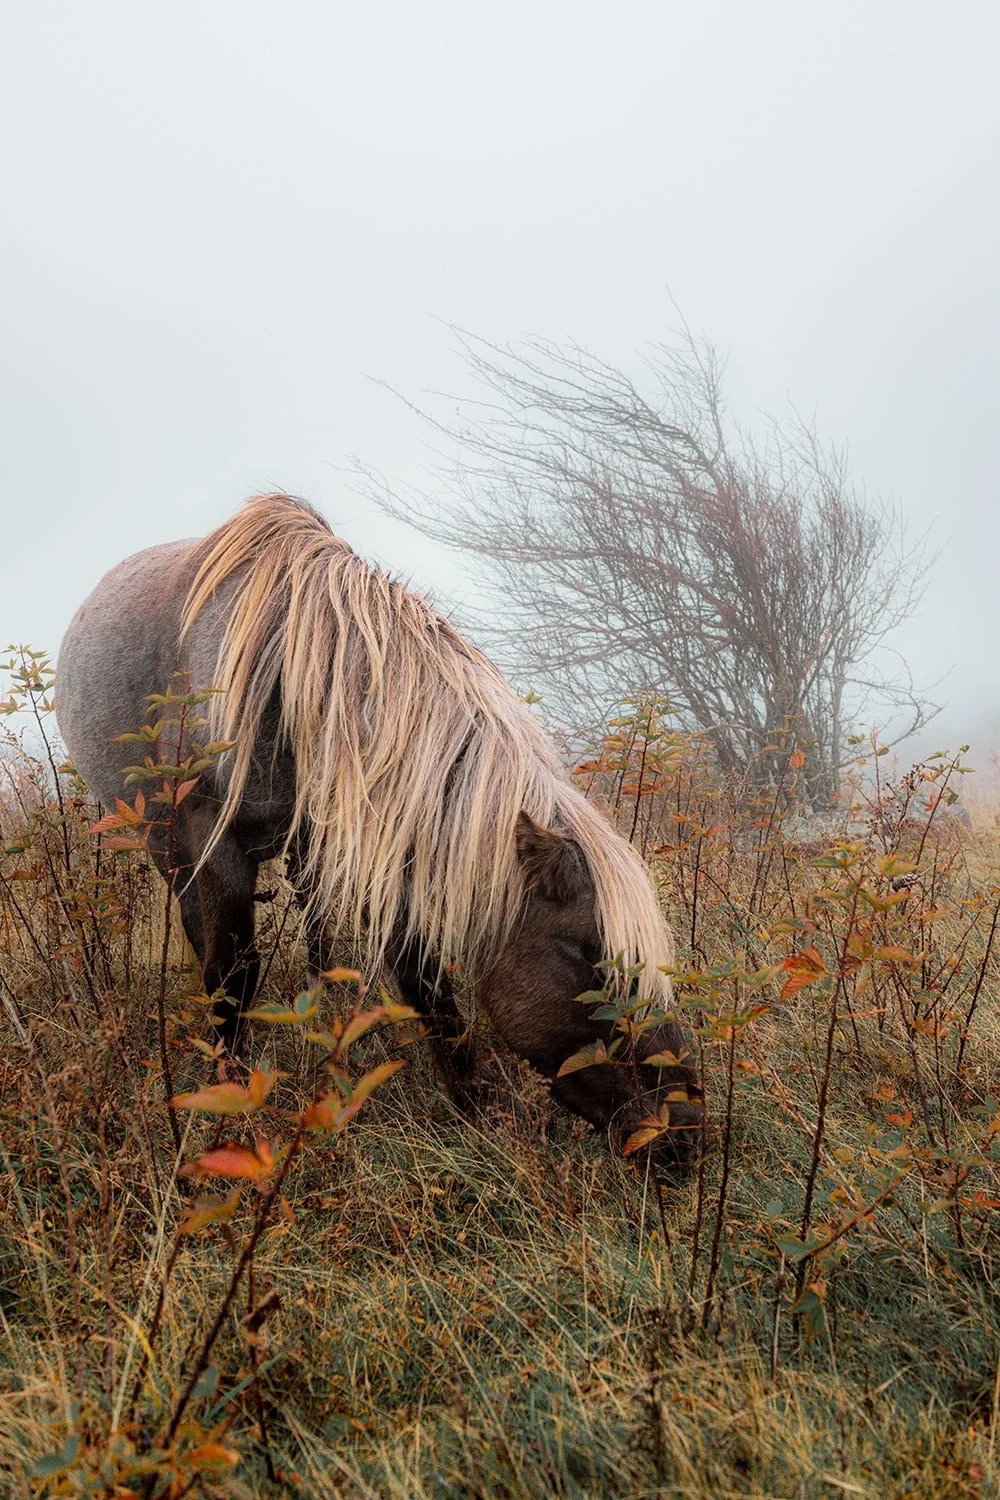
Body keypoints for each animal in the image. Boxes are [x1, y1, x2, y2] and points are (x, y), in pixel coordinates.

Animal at [56, 494, 702, 1168]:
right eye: (594, 961)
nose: (687, 1133)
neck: (285, 670)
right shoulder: (214, 840)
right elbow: (232, 972)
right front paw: (230, 1102)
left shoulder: (377, 840)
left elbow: (421, 977)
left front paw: (476, 1109)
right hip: (169, 844)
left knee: (316, 932)